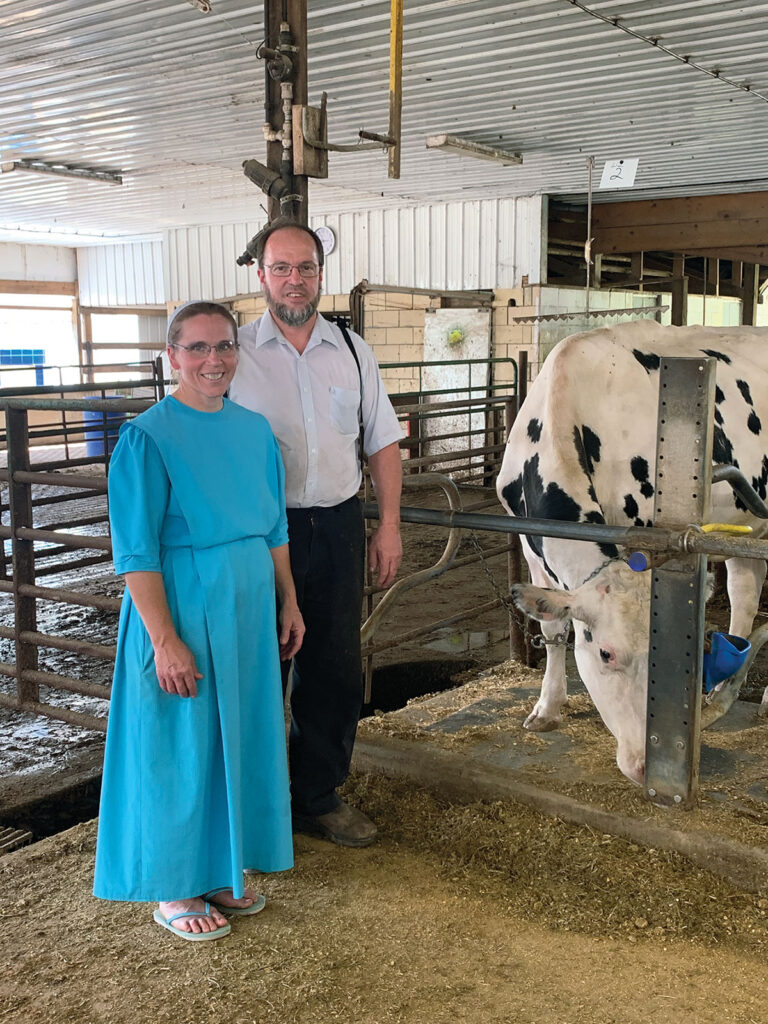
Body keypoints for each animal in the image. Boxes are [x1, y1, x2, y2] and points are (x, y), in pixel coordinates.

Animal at [499, 319, 768, 782]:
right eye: (606, 654)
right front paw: (547, 708)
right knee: (745, 594)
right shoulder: (531, 549)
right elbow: (553, 632)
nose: (647, 766)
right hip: (746, 526)